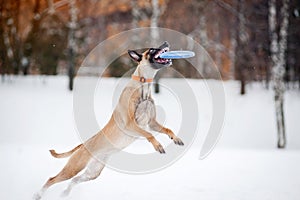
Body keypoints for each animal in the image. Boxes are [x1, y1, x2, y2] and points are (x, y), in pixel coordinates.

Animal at [32, 41, 183, 199]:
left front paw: (175, 138)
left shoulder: (152, 122)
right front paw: (158, 145)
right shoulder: (130, 124)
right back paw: (38, 194)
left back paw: (64, 193)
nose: (166, 43)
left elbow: (167, 129)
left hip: (93, 172)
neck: (143, 87)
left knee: (74, 180)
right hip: (74, 167)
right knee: (52, 179)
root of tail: (82, 145)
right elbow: (149, 134)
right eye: (152, 49)